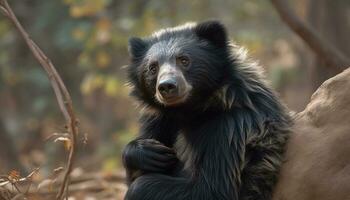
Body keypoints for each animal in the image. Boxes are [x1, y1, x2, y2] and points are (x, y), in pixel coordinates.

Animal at [121, 20, 292, 200]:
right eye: (153, 67)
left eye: (184, 60)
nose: (167, 86)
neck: (190, 109)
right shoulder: (159, 119)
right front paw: (149, 152)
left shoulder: (231, 127)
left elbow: (212, 188)